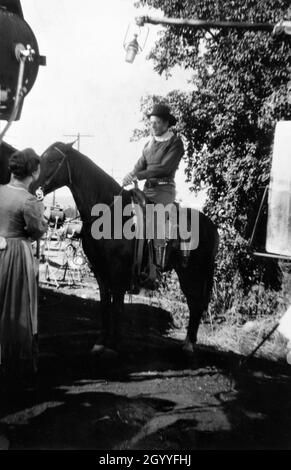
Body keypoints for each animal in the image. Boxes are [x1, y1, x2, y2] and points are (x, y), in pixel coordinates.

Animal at [31, 142, 219, 352]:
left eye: (52, 159)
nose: (31, 186)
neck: (108, 213)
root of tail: (212, 226)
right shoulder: (100, 270)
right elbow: (105, 305)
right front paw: (101, 341)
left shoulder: (118, 270)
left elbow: (118, 306)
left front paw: (114, 343)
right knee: (196, 303)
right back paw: (188, 341)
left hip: (192, 272)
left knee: (195, 303)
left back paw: (188, 345)